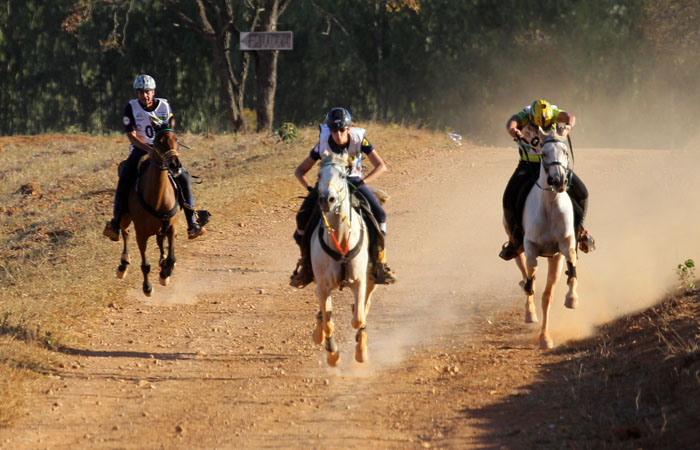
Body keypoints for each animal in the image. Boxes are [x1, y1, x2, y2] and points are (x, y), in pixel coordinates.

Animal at [115, 125, 179, 298]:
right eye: (159, 141)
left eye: (176, 139)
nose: (175, 165)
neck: (157, 199)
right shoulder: (141, 234)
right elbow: (145, 265)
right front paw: (147, 288)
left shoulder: (171, 227)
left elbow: (171, 258)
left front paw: (165, 274)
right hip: (125, 217)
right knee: (125, 232)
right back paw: (123, 264)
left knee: (160, 241)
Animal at [310, 151, 374, 366]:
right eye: (319, 175)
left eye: (342, 175)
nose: (326, 199)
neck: (339, 237)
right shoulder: (323, 286)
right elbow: (328, 323)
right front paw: (332, 354)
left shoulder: (360, 281)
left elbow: (358, 319)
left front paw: (361, 352)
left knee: (365, 306)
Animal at [516, 128, 580, 350]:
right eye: (543, 154)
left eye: (565, 152)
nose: (559, 180)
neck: (550, 206)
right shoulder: (530, 247)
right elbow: (530, 273)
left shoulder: (562, 248)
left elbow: (550, 294)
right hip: (515, 246)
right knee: (523, 270)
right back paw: (529, 312)